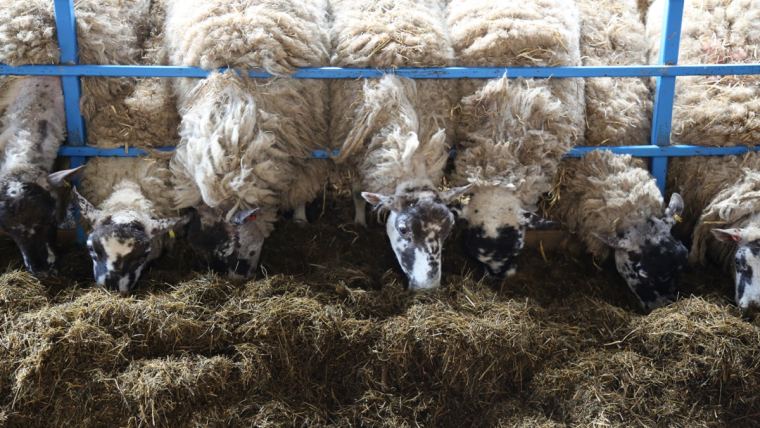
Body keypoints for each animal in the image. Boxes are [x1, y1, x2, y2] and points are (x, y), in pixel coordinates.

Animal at [329, 0, 469, 290]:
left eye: (449, 229)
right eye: (404, 229)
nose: (428, 288)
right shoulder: (360, 154)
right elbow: (357, 191)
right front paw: (359, 221)